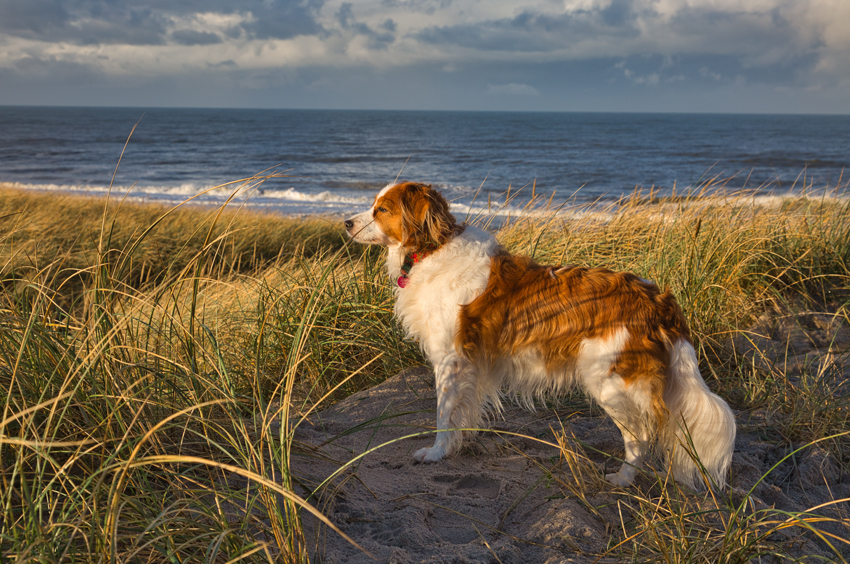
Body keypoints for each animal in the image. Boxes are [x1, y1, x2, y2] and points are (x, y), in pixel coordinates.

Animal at [344, 182, 736, 490]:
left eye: (381, 210)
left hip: (609, 381)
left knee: (640, 435)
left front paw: (437, 453)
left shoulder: (450, 360)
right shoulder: (471, 365)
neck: (432, 249)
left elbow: (443, 413)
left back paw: (623, 479)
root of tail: (657, 299)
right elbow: (463, 412)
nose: (346, 222)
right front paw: (460, 445)